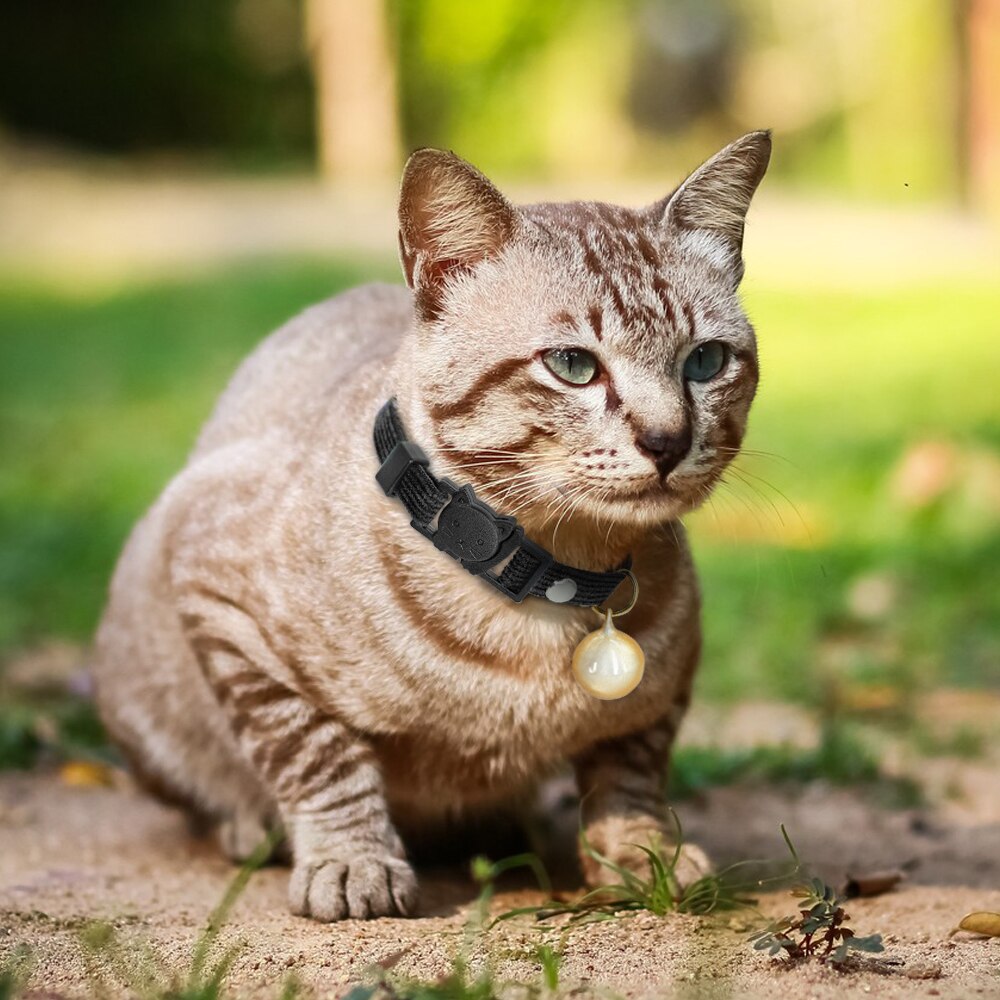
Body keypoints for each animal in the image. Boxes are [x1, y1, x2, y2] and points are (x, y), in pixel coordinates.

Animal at [90, 133, 768, 920]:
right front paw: (351, 861)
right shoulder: (216, 591)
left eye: (705, 361)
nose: (667, 442)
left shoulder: (662, 690)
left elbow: (630, 771)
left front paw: (642, 858)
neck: (554, 576)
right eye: (572, 365)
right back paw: (251, 826)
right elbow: (316, 754)